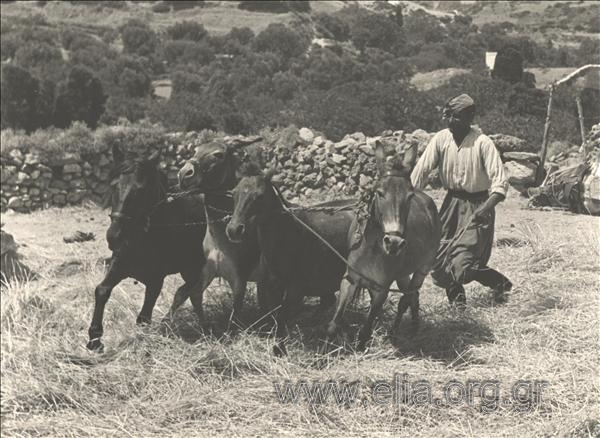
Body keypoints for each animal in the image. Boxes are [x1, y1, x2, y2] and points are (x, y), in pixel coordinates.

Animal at [85, 147, 205, 352]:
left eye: (141, 190)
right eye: (113, 185)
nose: (114, 237)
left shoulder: (155, 280)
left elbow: (143, 318)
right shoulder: (119, 265)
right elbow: (102, 291)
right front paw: (94, 339)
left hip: (192, 267)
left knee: (189, 292)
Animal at [225, 163, 356, 356]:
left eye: (259, 196)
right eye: (234, 193)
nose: (234, 230)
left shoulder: (296, 290)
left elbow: (282, 316)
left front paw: (279, 349)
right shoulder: (271, 287)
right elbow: (274, 316)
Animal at [326, 142, 442, 350]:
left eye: (409, 196)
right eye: (379, 193)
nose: (394, 243)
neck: (371, 247)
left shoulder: (382, 289)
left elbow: (365, 330)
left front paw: (361, 346)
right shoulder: (349, 280)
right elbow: (334, 323)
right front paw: (326, 350)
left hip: (422, 269)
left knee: (407, 298)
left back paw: (397, 333)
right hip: (403, 274)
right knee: (412, 296)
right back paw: (412, 328)